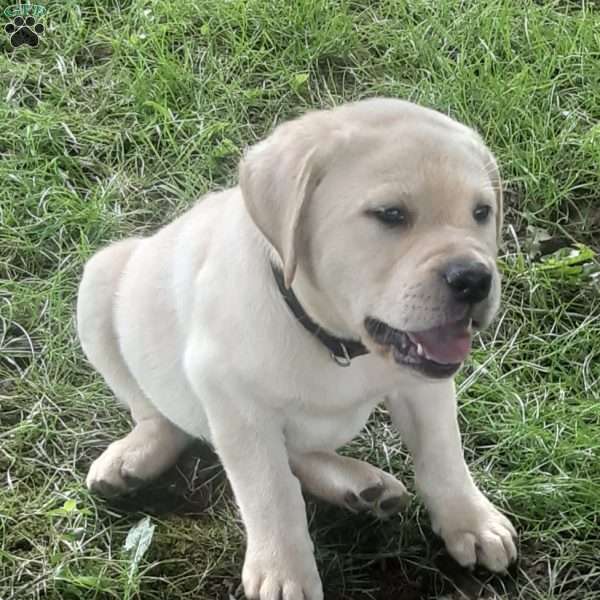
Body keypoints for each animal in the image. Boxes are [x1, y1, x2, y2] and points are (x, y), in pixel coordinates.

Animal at [78, 98, 516, 600]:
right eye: (390, 214)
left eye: (481, 212)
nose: (474, 279)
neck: (335, 339)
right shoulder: (235, 404)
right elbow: (270, 490)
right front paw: (283, 570)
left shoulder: (422, 385)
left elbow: (443, 454)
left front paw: (472, 522)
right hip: (99, 282)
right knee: (158, 414)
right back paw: (134, 456)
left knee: (299, 452)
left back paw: (360, 487)